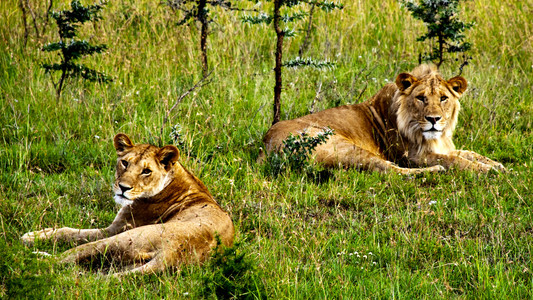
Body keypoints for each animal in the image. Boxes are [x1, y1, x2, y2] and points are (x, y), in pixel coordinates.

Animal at [21, 134, 233, 274]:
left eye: (146, 171)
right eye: (125, 163)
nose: (123, 188)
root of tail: (171, 253)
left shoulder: (116, 228)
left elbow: (72, 232)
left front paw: (35, 236)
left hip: (123, 238)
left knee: (67, 257)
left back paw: (35, 257)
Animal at [264, 64, 504, 175]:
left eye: (443, 98)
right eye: (421, 98)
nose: (434, 119)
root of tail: (265, 150)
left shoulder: (444, 147)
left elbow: (468, 153)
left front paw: (497, 164)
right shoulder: (413, 157)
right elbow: (455, 160)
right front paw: (487, 170)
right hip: (342, 146)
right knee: (391, 171)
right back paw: (435, 171)